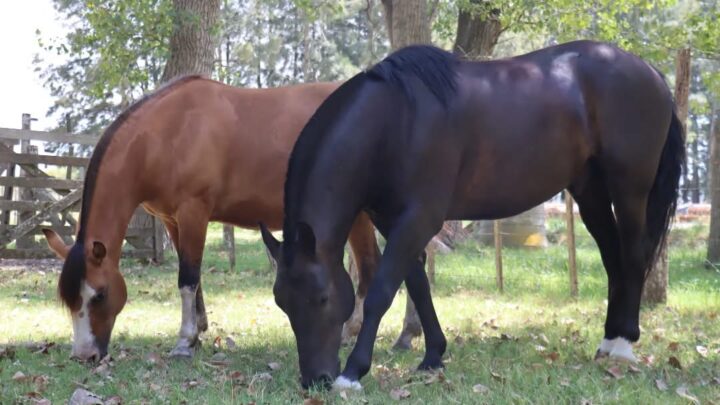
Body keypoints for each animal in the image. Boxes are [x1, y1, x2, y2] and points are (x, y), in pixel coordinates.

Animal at [41, 76, 382, 362]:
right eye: (68, 301)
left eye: (99, 295)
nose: (85, 356)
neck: (165, 134)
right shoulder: (172, 220)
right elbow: (193, 276)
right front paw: (199, 332)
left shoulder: (194, 212)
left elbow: (188, 278)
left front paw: (184, 341)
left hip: (360, 216)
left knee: (370, 267)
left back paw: (353, 333)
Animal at [260, 40, 684, 389]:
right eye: (282, 302)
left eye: (321, 298)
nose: (315, 379)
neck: (396, 121)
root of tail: (650, 73)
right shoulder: (392, 219)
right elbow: (417, 283)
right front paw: (433, 357)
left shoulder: (419, 218)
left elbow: (383, 289)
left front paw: (353, 372)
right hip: (590, 191)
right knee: (613, 259)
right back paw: (609, 340)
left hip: (630, 188)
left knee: (633, 257)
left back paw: (624, 346)